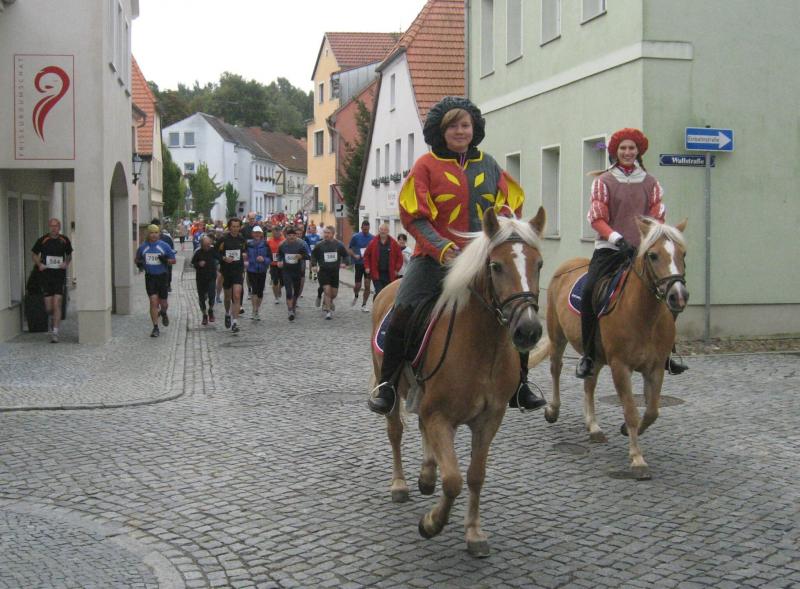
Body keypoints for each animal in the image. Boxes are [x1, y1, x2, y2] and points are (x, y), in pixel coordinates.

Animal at [369, 207, 546, 557]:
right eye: (496, 265)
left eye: (539, 264)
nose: (528, 330)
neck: (482, 349)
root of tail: (387, 290)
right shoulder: (440, 416)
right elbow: (453, 480)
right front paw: (431, 523)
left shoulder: (489, 419)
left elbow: (475, 475)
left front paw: (474, 533)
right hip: (393, 392)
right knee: (396, 432)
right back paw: (400, 484)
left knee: (419, 428)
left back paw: (426, 475)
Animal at [529, 217, 688, 480]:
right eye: (653, 255)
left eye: (683, 253)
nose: (679, 296)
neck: (643, 315)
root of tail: (568, 265)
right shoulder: (620, 367)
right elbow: (631, 410)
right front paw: (637, 459)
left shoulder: (655, 368)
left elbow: (651, 411)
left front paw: (628, 431)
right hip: (558, 336)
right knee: (556, 369)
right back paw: (553, 410)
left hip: (595, 355)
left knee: (589, 383)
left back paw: (593, 426)